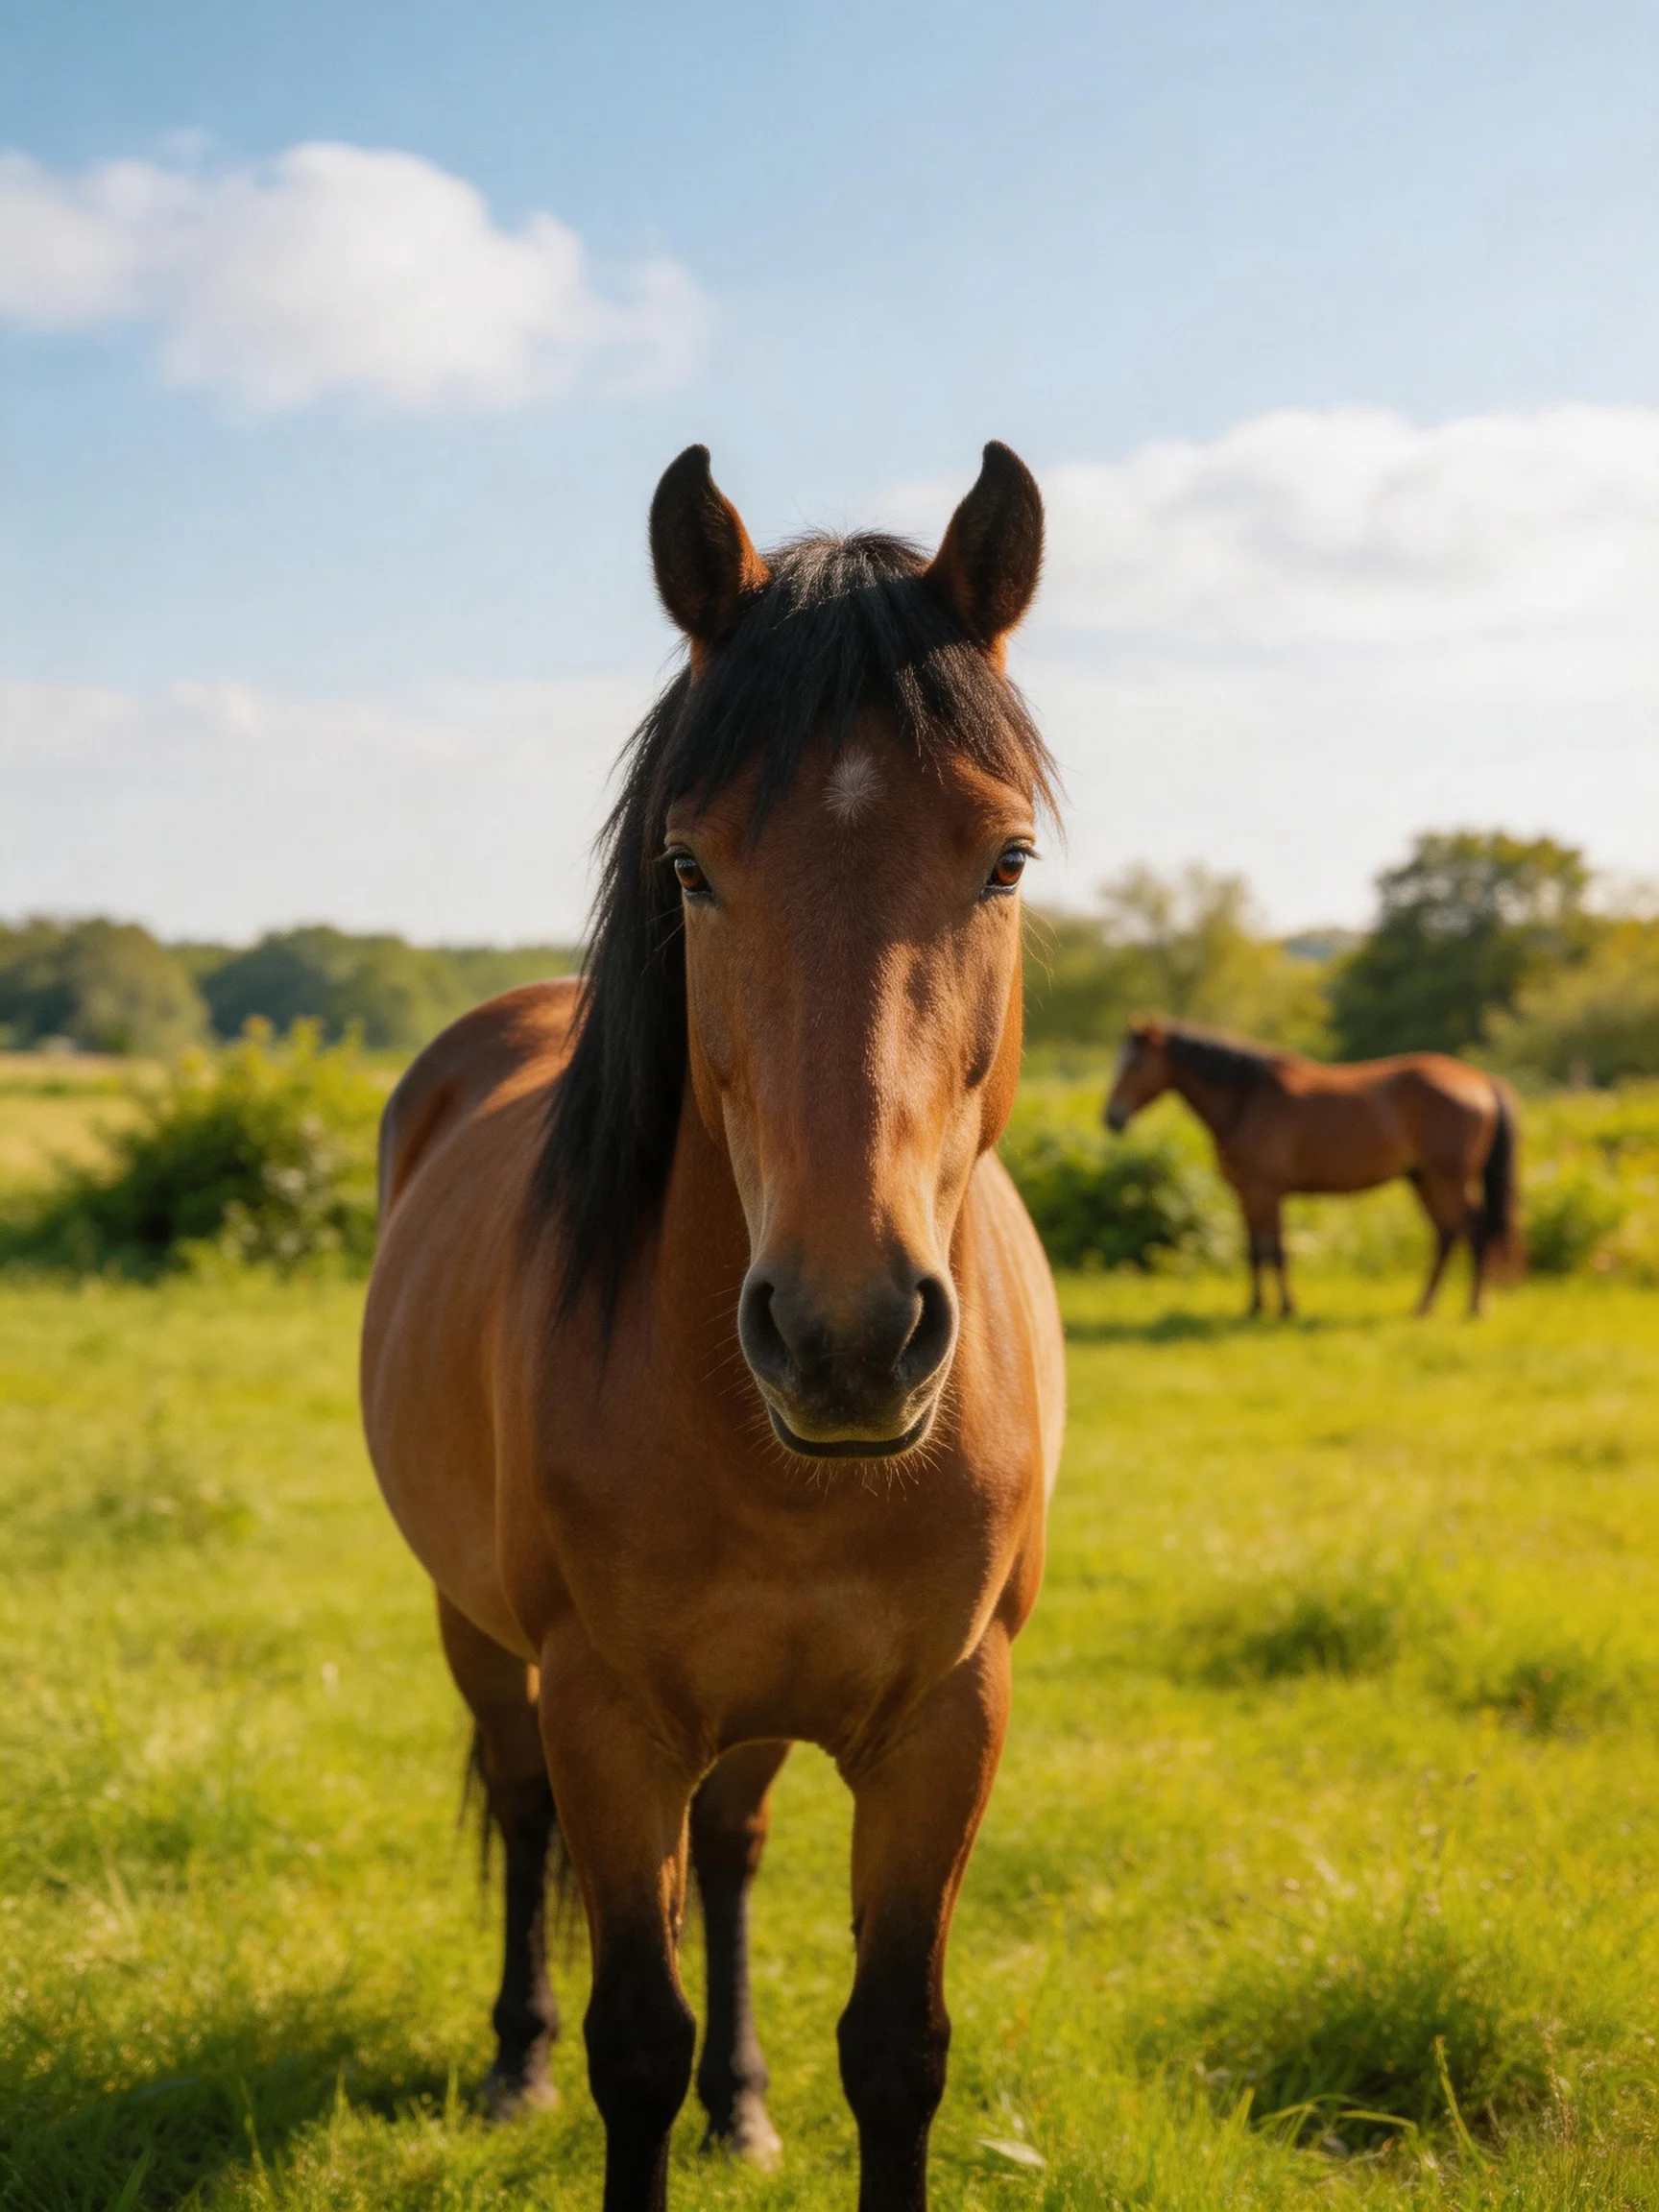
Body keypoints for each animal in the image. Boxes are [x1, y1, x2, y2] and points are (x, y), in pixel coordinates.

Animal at [361, 441, 1066, 2212]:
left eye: (1004, 858)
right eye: (691, 867)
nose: (846, 1334)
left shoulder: (949, 1721)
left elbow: (896, 2049)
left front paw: (755, 2093)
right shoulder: (605, 1713)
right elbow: (635, 2038)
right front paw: (585, 2069)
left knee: (737, 1849)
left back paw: (742, 2102)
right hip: (482, 1638)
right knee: (521, 1816)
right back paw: (512, 2063)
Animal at [1103, 1018, 1520, 1318]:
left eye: (1134, 1063)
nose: (1111, 1118)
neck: (1248, 1098)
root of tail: (1480, 1080)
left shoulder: (1266, 1189)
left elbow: (1275, 1251)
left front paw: (1286, 1309)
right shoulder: (1245, 1192)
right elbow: (1254, 1250)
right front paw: (1255, 1308)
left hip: (1448, 1179)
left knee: (1475, 1231)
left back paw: (1473, 1307)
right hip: (1424, 1180)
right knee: (1447, 1234)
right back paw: (1424, 1306)